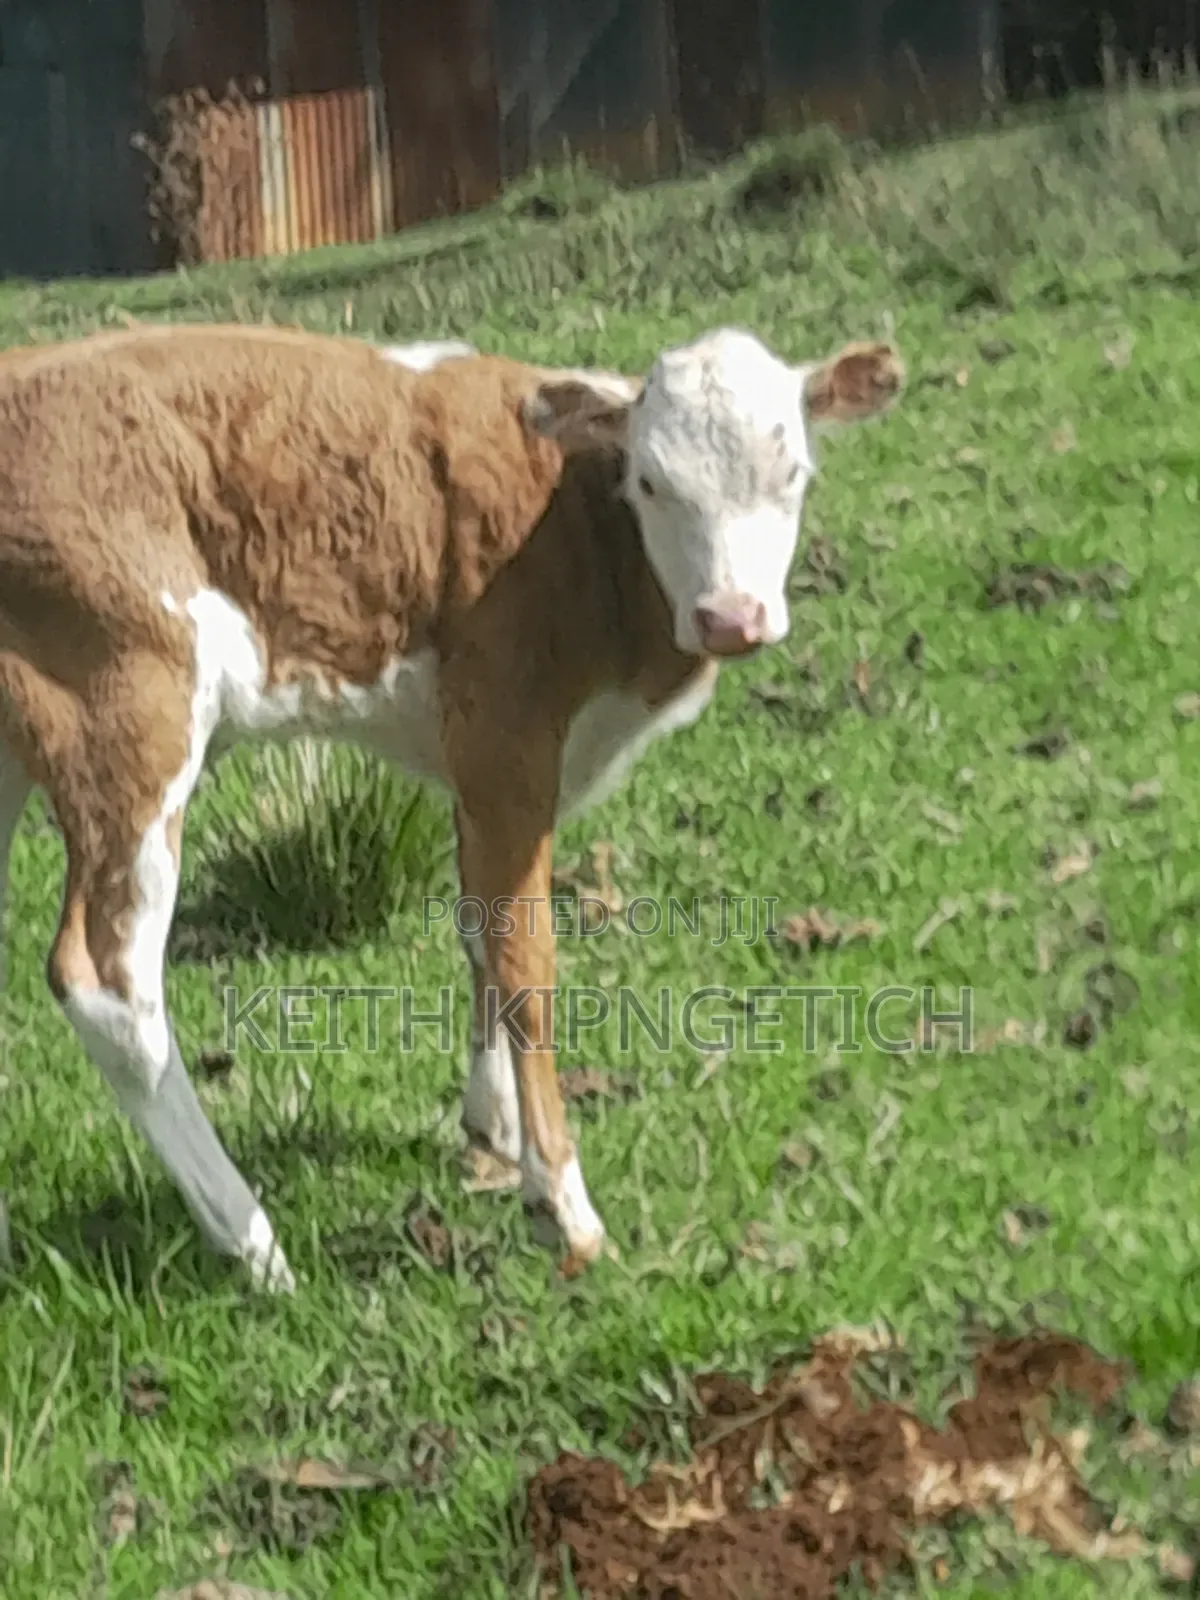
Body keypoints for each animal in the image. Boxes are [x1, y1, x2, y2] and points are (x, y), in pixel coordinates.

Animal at [0, 320, 903, 1291]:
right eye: (652, 481)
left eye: (793, 473)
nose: (732, 616)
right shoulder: (506, 736)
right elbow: (525, 958)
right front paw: (561, 1205)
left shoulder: (473, 768)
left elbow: (477, 928)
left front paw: (492, 1126)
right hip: (128, 707)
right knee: (110, 984)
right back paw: (253, 1243)